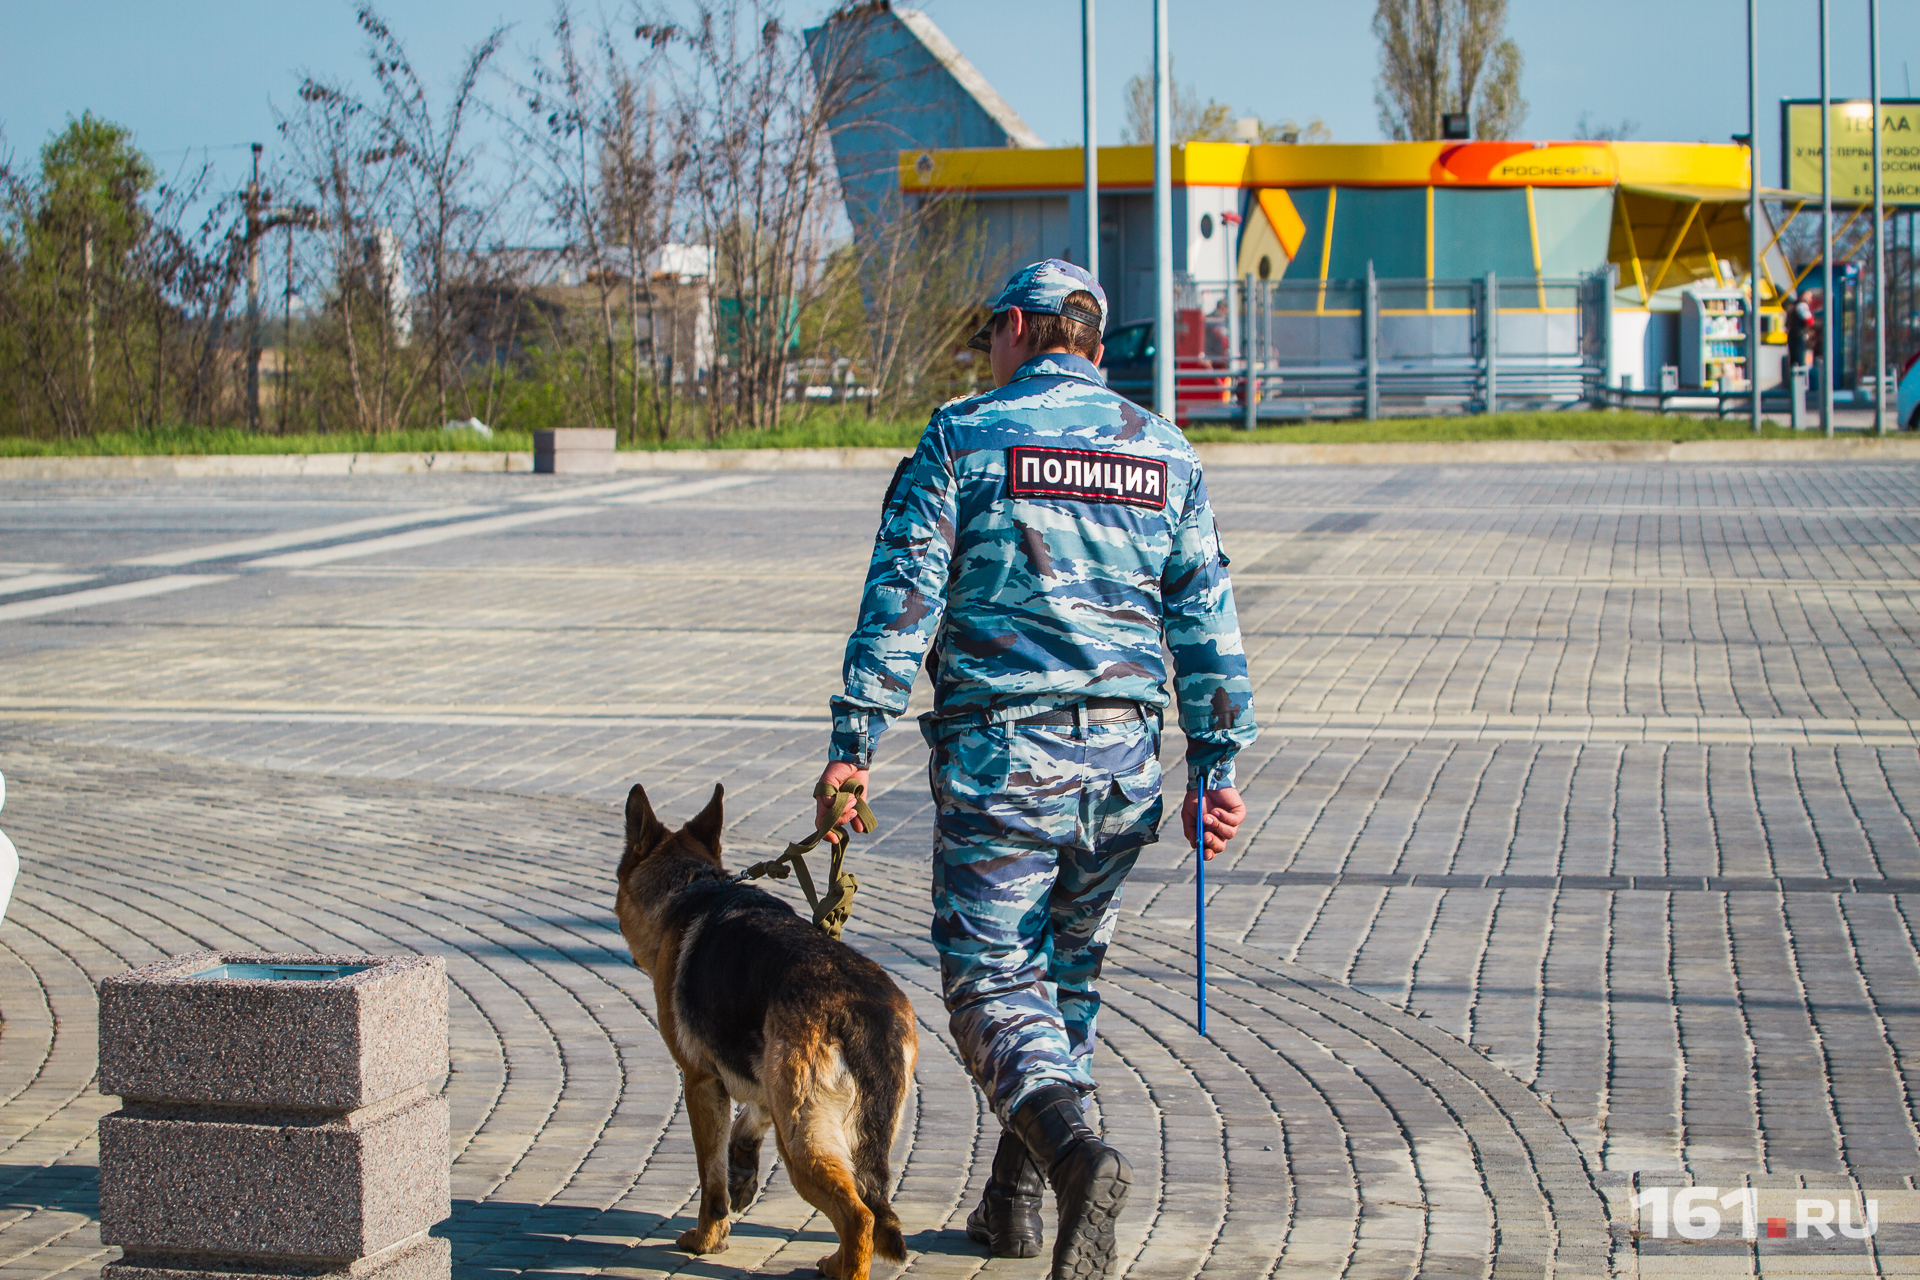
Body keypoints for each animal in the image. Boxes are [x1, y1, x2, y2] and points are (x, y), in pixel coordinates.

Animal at [610, 782, 917, 1280]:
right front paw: (743, 1173)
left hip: (800, 1142)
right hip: (832, 1129)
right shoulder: (765, 1079)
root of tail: (862, 1010)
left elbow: (709, 1177)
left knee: (859, 1216)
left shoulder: (701, 1082)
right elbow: (746, 1123)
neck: (694, 884)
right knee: (866, 1207)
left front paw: (707, 1239)